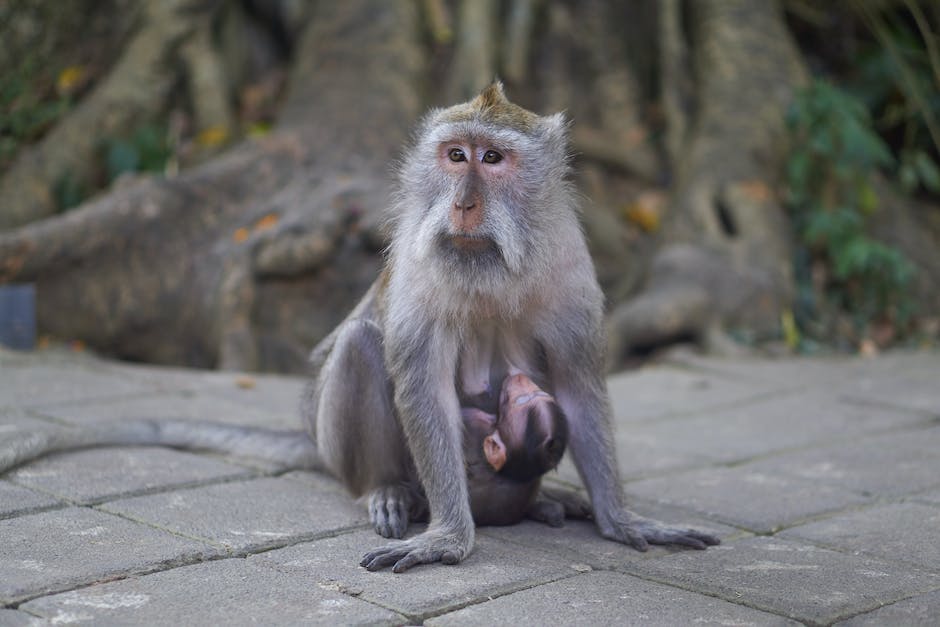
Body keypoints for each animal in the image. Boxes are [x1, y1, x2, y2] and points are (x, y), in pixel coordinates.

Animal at [308, 83, 712, 576]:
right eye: (456, 155)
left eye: (493, 158)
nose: (463, 204)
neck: (492, 268)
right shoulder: (417, 265)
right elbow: (427, 392)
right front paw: (448, 536)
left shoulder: (570, 265)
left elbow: (578, 388)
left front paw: (621, 518)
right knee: (357, 342)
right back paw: (385, 489)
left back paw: (546, 499)